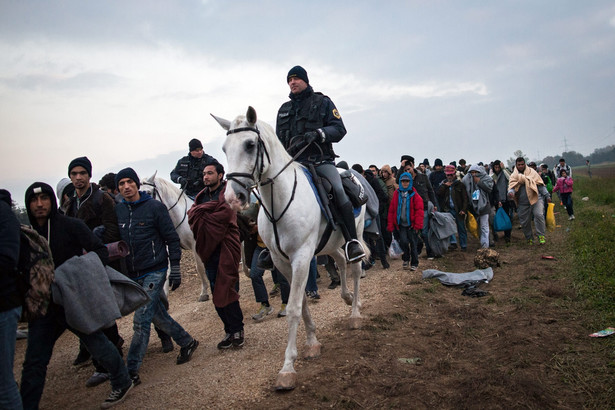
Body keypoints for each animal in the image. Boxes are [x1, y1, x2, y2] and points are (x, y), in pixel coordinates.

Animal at [141, 171, 211, 302]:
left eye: (148, 192)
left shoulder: (195, 245)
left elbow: (199, 267)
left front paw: (204, 292)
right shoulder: (170, 246)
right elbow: (167, 271)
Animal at [214, 106, 368, 390]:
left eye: (250, 144)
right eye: (224, 148)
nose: (233, 198)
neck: (280, 202)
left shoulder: (301, 258)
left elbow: (295, 307)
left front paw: (287, 367)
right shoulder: (282, 261)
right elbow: (302, 303)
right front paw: (312, 342)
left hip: (357, 233)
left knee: (354, 266)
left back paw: (354, 313)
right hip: (330, 245)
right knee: (341, 262)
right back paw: (348, 297)